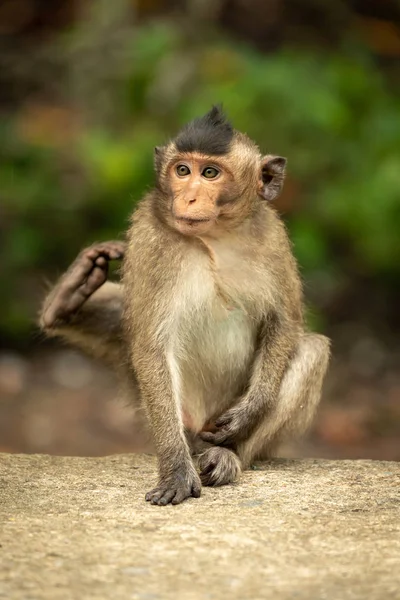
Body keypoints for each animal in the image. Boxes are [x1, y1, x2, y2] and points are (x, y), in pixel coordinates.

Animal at [39, 106, 330, 506]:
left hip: (217, 426)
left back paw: (228, 455)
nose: (189, 198)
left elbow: (284, 322)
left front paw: (251, 410)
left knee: (312, 349)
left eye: (209, 173)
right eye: (181, 170)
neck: (215, 238)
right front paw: (176, 470)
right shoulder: (149, 236)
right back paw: (66, 298)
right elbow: (151, 345)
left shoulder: (274, 238)